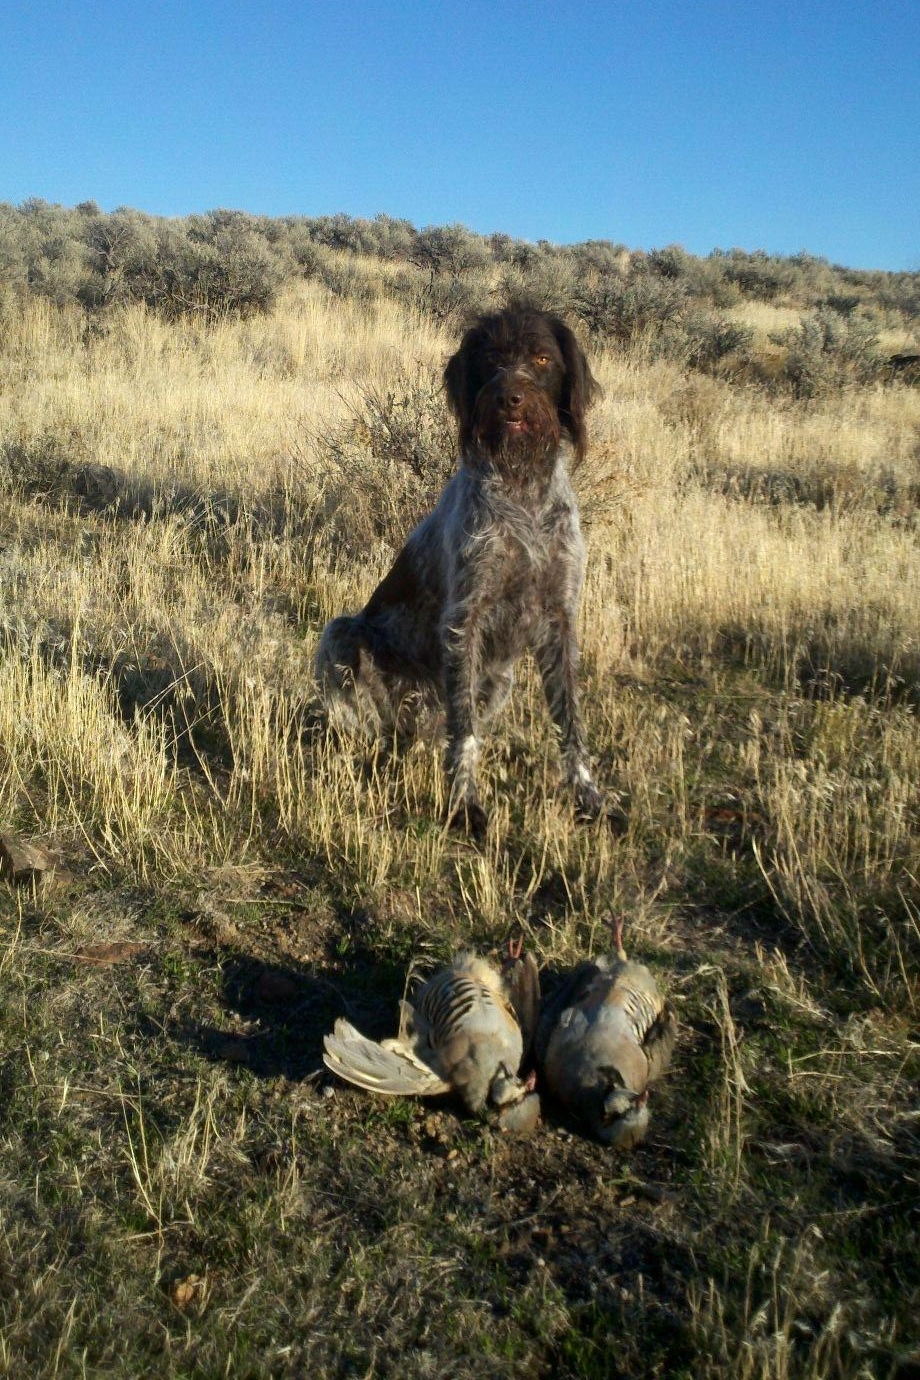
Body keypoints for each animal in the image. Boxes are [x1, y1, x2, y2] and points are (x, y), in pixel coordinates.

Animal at [313, 307, 606, 833]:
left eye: (542, 358)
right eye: (490, 358)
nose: (510, 397)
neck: (522, 489)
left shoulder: (560, 618)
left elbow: (570, 721)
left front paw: (585, 793)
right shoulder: (465, 618)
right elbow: (464, 732)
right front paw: (465, 803)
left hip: (499, 681)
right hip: (342, 635)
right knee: (372, 728)